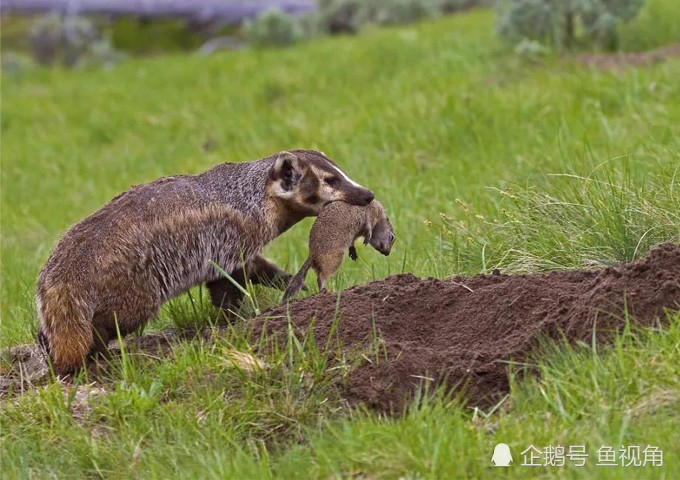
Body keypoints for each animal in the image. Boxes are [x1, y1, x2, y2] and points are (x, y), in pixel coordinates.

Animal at [35, 148, 378, 374]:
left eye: (340, 173)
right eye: (331, 180)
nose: (368, 193)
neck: (254, 198)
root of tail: (63, 274)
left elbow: (249, 268)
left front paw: (287, 281)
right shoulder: (231, 235)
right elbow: (229, 279)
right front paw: (240, 314)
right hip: (130, 281)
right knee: (118, 317)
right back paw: (97, 352)